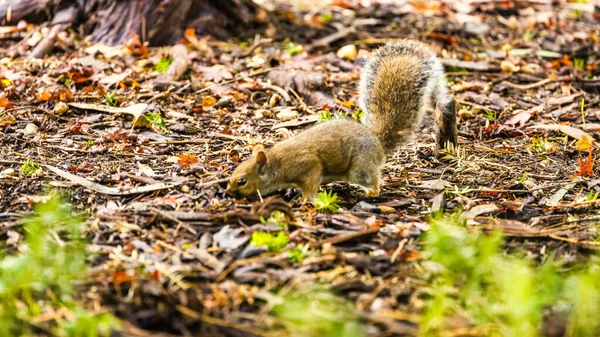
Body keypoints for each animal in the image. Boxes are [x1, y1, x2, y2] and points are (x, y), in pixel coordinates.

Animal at [227, 38, 458, 201]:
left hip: (359, 167)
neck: (275, 164)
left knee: (373, 180)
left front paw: (305, 201)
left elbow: (310, 184)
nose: (227, 191)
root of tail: (377, 143)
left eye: (242, 181)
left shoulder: (308, 166)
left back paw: (369, 193)